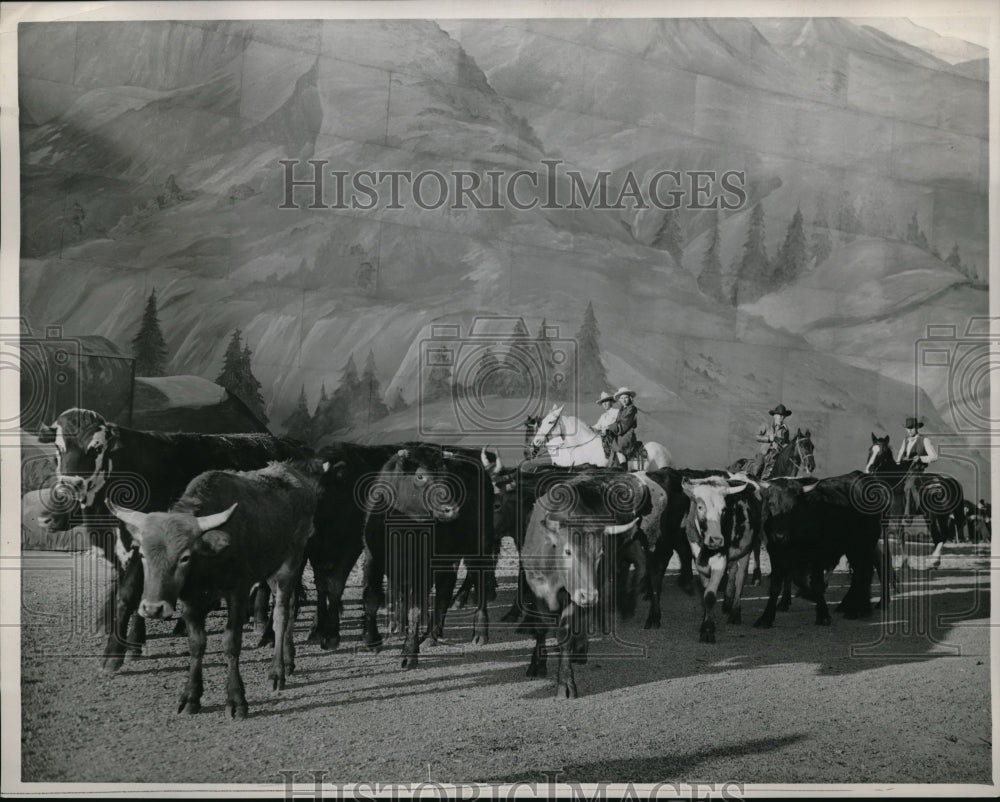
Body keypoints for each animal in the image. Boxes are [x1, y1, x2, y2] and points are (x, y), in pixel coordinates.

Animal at [35, 406, 308, 668]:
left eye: (97, 447)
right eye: (59, 448)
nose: (71, 486)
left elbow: (128, 596)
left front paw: (116, 653)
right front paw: (129, 641)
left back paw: (268, 632)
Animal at [109, 460, 320, 716]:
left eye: (185, 557)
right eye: (143, 554)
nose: (153, 609)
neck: (209, 558)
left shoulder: (238, 593)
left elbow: (231, 643)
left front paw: (236, 700)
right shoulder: (190, 601)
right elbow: (197, 643)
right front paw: (191, 696)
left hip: (290, 565)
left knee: (282, 614)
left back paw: (277, 671)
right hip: (271, 568)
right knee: (289, 608)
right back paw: (289, 660)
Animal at [864, 432, 964, 568]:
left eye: (882, 452)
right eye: (870, 450)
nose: (869, 470)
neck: (893, 482)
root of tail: (949, 480)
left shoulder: (897, 516)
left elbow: (899, 536)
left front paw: (905, 562)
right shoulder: (884, 516)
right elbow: (885, 535)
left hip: (939, 515)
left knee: (943, 535)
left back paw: (934, 560)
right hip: (932, 516)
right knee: (939, 535)